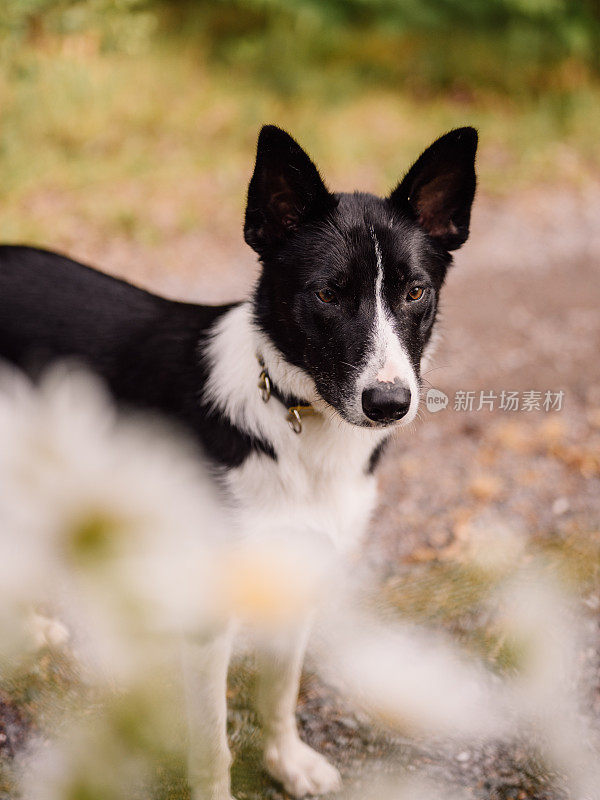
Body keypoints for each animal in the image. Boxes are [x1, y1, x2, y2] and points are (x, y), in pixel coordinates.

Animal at [0, 125, 478, 800]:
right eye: (327, 293)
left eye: (416, 293)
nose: (389, 404)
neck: (299, 427)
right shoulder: (207, 614)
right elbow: (211, 744)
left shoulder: (298, 575)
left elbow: (279, 692)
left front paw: (287, 761)